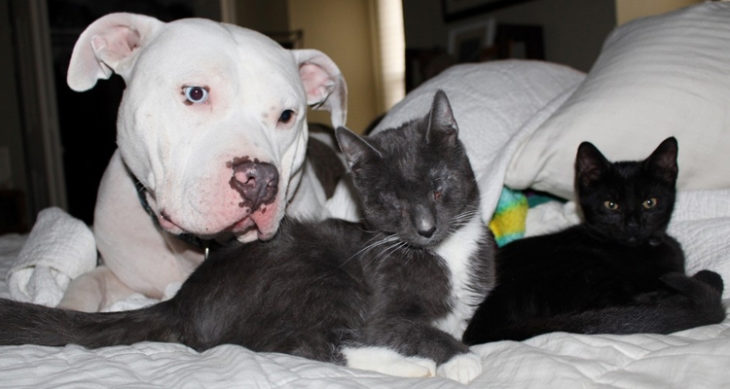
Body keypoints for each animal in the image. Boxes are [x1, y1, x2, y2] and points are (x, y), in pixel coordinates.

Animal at [0, 90, 494, 382]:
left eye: (439, 187)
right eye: (392, 202)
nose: (426, 227)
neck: (445, 253)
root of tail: (183, 300)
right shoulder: (382, 310)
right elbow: (404, 327)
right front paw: (461, 357)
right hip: (306, 272)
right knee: (298, 343)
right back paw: (412, 367)